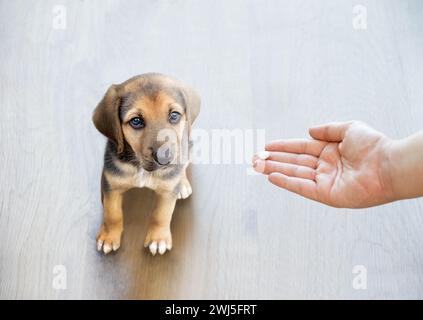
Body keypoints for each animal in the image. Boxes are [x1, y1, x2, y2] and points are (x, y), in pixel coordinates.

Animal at [93, 74, 200, 256]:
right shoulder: (111, 185)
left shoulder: (167, 190)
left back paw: (183, 184)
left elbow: (161, 214)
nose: (165, 158)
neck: (141, 168)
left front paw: (158, 239)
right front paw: (109, 237)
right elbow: (112, 213)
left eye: (174, 115)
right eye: (136, 121)